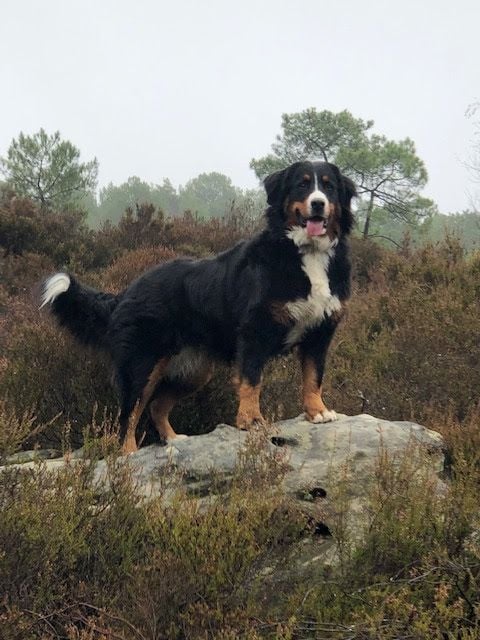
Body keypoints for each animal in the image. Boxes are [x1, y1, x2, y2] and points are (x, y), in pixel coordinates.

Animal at [41, 161, 356, 453]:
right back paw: (128, 455)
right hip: (141, 364)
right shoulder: (254, 332)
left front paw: (318, 412)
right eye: (302, 185)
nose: (318, 203)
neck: (307, 254)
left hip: (192, 372)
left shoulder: (320, 332)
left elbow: (313, 377)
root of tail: (127, 291)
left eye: (329, 187)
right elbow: (252, 380)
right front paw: (252, 421)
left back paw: (173, 440)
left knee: (156, 406)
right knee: (129, 414)